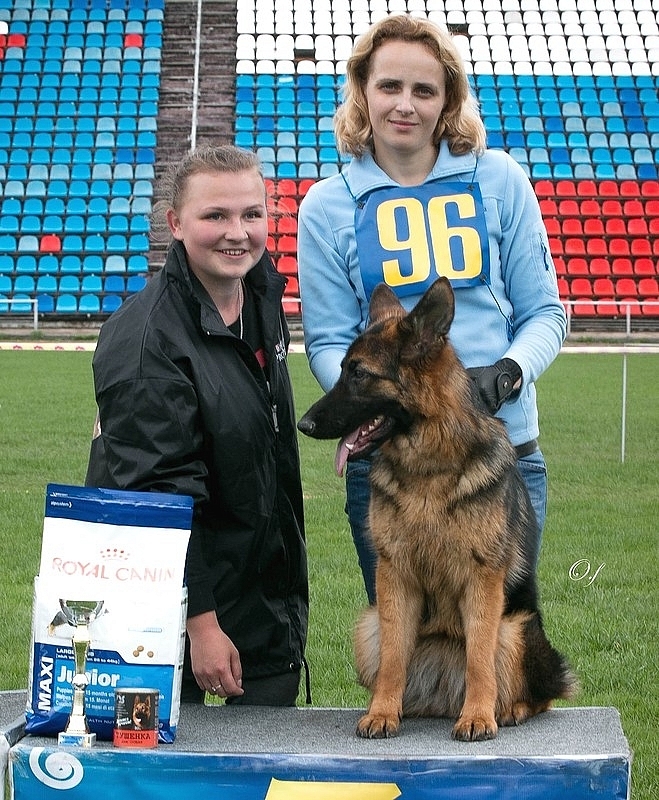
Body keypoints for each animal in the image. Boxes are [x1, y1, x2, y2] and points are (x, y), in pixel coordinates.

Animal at [297, 278, 577, 741]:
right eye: (341, 369)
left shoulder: (482, 581)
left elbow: (480, 659)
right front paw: (382, 712)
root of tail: (443, 696)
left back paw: (508, 709)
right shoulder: (394, 576)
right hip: (368, 626)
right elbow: (394, 657)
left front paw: (478, 716)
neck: (427, 463)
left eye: (359, 373)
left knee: (540, 690)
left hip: (515, 628)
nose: (304, 425)